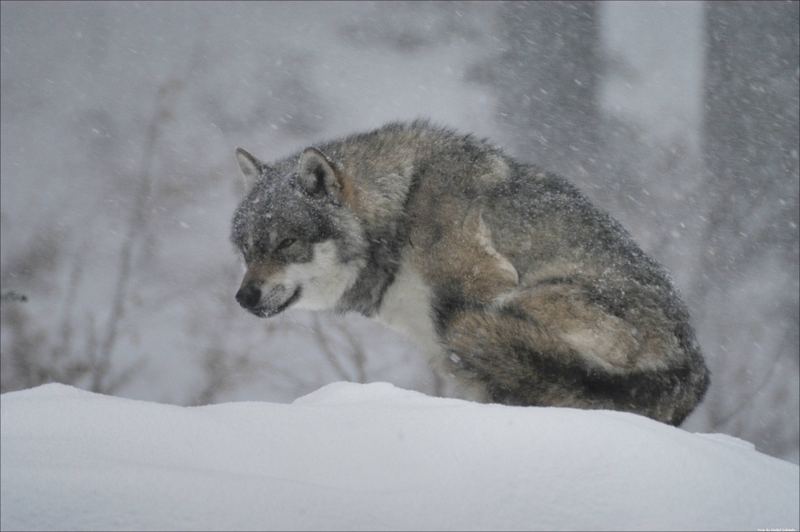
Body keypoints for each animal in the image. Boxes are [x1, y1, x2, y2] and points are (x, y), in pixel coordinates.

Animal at [228, 119, 708, 424]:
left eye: (286, 243)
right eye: (247, 249)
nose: (244, 297)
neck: (402, 212)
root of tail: (690, 374)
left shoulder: (487, 285)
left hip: (513, 308)